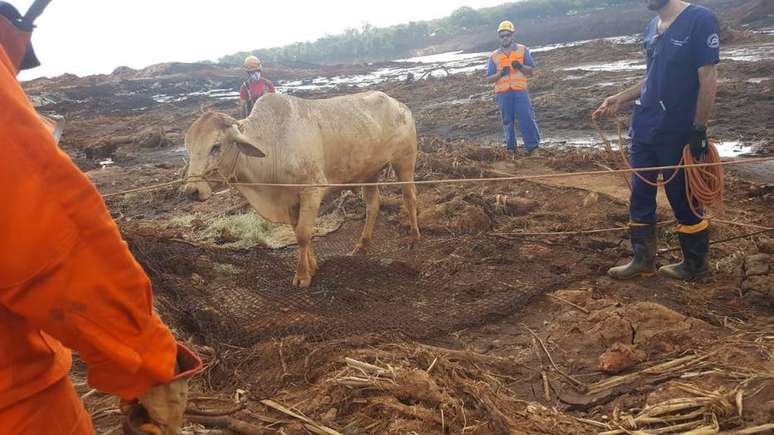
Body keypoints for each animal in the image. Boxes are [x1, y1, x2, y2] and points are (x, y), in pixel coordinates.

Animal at [183, 91, 422, 288]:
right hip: (369, 173)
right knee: (373, 205)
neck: (273, 144)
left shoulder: (312, 190)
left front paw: (302, 276)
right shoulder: (289, 200)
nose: (191, 191)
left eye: (216, 146)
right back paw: (362, 246)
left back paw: (414, 237)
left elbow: (304, 234)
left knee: (410, 197)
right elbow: (298, 231)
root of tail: (399, 104)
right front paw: (313, 266)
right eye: (189, 148)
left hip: (404, 161)